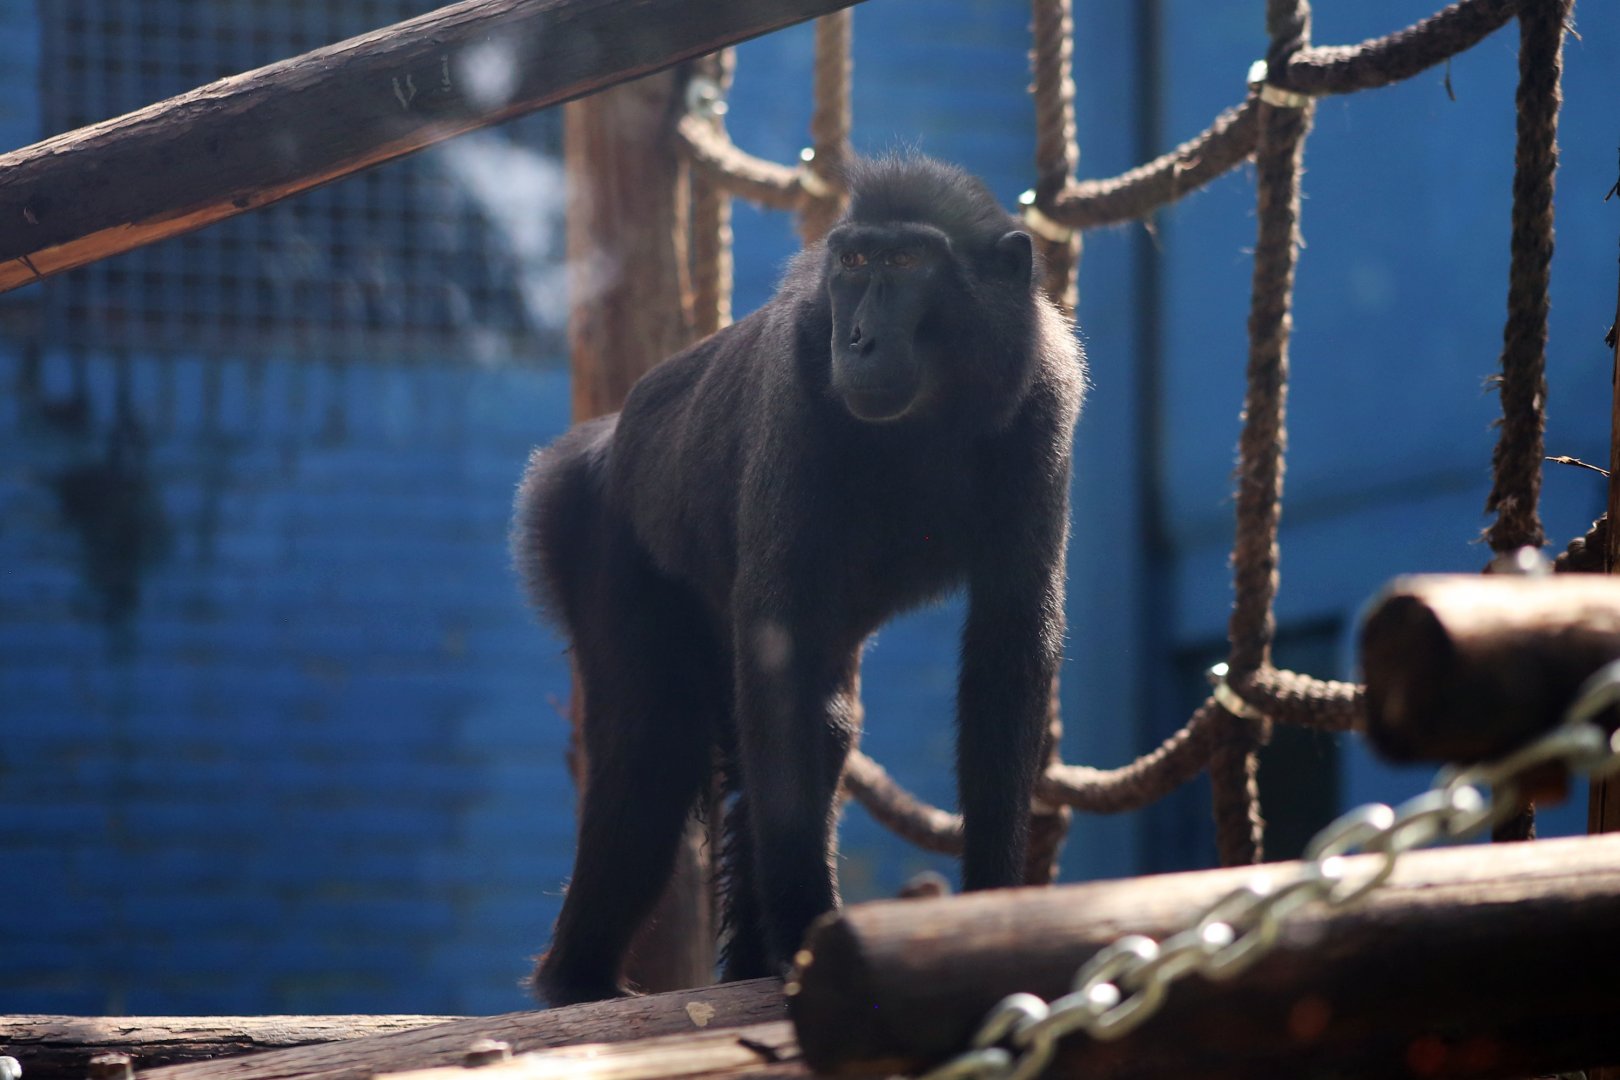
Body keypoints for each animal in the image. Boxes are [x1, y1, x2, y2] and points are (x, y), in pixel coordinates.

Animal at [512, 154, 1084, 1006]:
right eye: (855, 262)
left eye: (905, 263)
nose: (859, 338)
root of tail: (601, 446)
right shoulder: (797, 395)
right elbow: (776, 653)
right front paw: (810, 933)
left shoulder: (1044, 402)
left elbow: (1007, 646)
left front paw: (991, 908)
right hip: (592, 534)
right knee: (655, 742)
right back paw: (579, 983)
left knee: (815, 723)